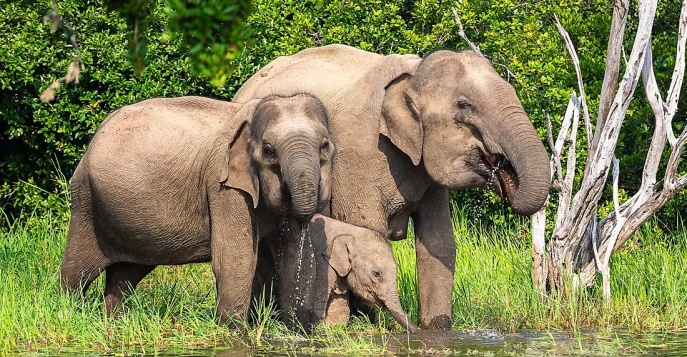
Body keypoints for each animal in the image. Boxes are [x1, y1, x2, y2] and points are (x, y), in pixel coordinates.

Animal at [60, 93, 334, 322]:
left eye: (325, 147)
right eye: (268, 150)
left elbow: (291, 258)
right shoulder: (222, 186)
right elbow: (235, 259)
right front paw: (233, 332)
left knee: (125, 275)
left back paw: (116, 321)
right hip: (86, 200)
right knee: (77, 272)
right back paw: (69, 313)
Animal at [258, 214, 420, 334]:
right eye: (377, 273)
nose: (416, 332)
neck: (350, 231)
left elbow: (340, 307)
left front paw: (330, 328)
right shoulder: (321, 265)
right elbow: (318, 303)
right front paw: (319, 330)